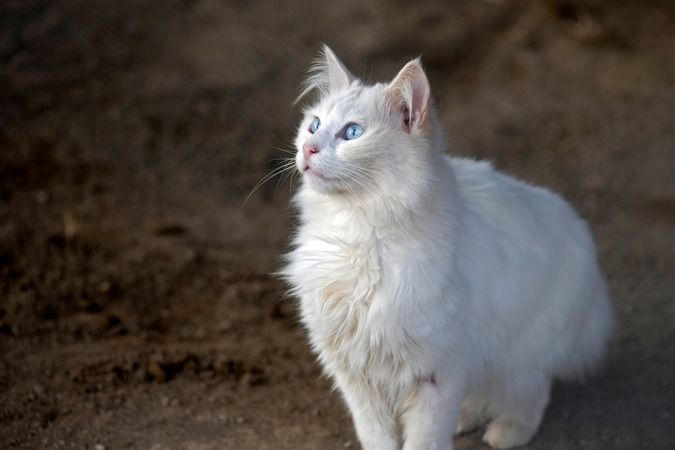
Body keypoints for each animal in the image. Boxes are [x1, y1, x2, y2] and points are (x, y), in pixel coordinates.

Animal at [282, 46, 616, 450]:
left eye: (353, 133)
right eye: (313, 125)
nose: (307, 148)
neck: (355, 234)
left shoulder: (436, 373)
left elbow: (423, 440)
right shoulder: (355, 374)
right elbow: (376, 435)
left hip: (520, 355)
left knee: (532, 394)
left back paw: (506, 431)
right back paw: (467, 420)